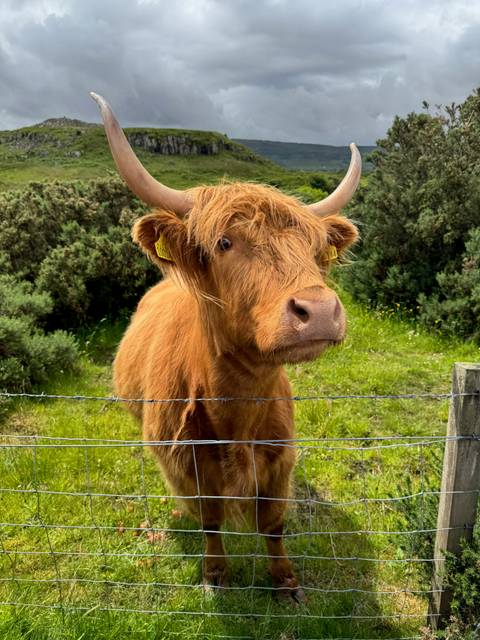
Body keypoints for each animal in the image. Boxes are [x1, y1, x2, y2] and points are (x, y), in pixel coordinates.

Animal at [91, 92, 360, 602]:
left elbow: (273, 523)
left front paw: (285, 581)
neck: (238, 407)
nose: (318, 311)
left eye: (314, 249)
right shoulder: (187, 466)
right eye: (223, 242)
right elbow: (211, 520)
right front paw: (215, 574)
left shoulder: (279, 461)